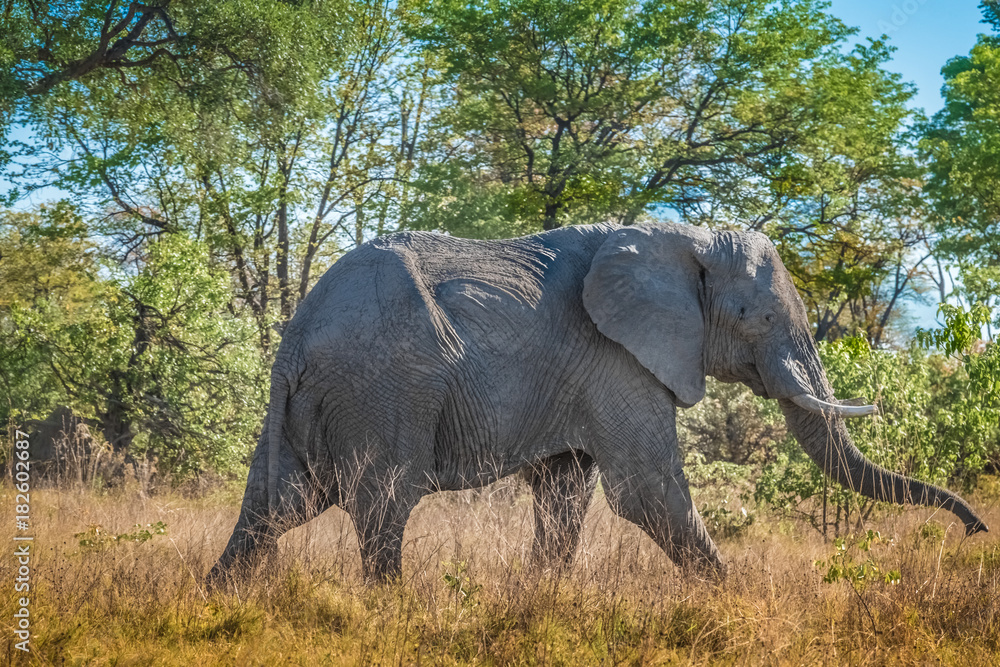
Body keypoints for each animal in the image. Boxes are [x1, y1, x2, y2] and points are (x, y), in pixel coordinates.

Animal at [208, 221, 988, 585]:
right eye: (756, 316)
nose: (978, 532)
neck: (680, 237)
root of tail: (295, 334)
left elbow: (565, 492)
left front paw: (539, 597)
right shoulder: (619, 357)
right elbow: (646, 490)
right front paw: (730, 592)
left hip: (320, 401)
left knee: (275, 504)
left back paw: (220, 594)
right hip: (385, 387)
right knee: (383, 507)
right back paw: (392, 608)